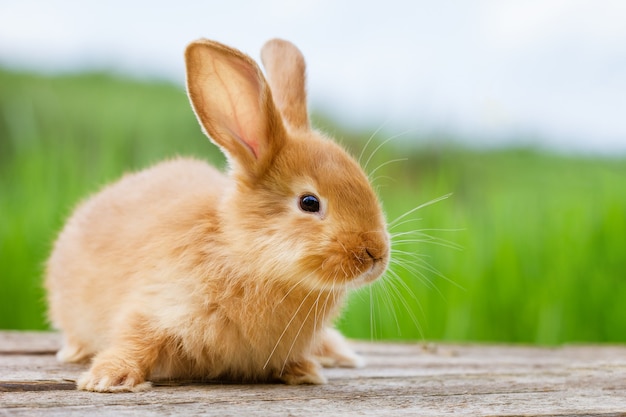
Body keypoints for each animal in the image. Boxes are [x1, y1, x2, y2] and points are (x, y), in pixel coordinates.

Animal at [46, 37, 390, 392]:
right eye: (309, 202)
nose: (376, 255)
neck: (244, 254)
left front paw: (305, 371)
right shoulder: (155, 304)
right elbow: (136, 339)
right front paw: (109, 379)